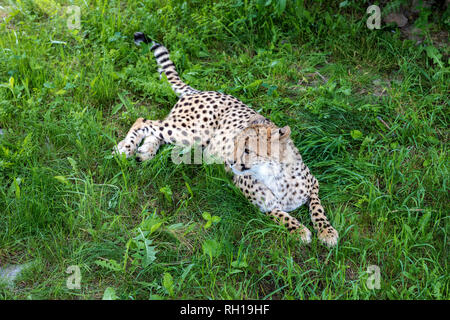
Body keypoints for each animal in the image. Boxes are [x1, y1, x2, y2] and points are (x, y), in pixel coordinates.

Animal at [114, 32, 340, 246]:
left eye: (247, 150)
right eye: (235, 144)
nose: (230, 162)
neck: (274, 175)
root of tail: (202, 91)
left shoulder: (314, 184)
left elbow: (317, 208)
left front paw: (326, 232)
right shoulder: (259, 204)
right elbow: (281, 215)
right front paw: (300, 230)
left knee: (156, 133)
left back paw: (144, 151)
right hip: (192, 131)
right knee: (143, 121)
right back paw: (125, 148)